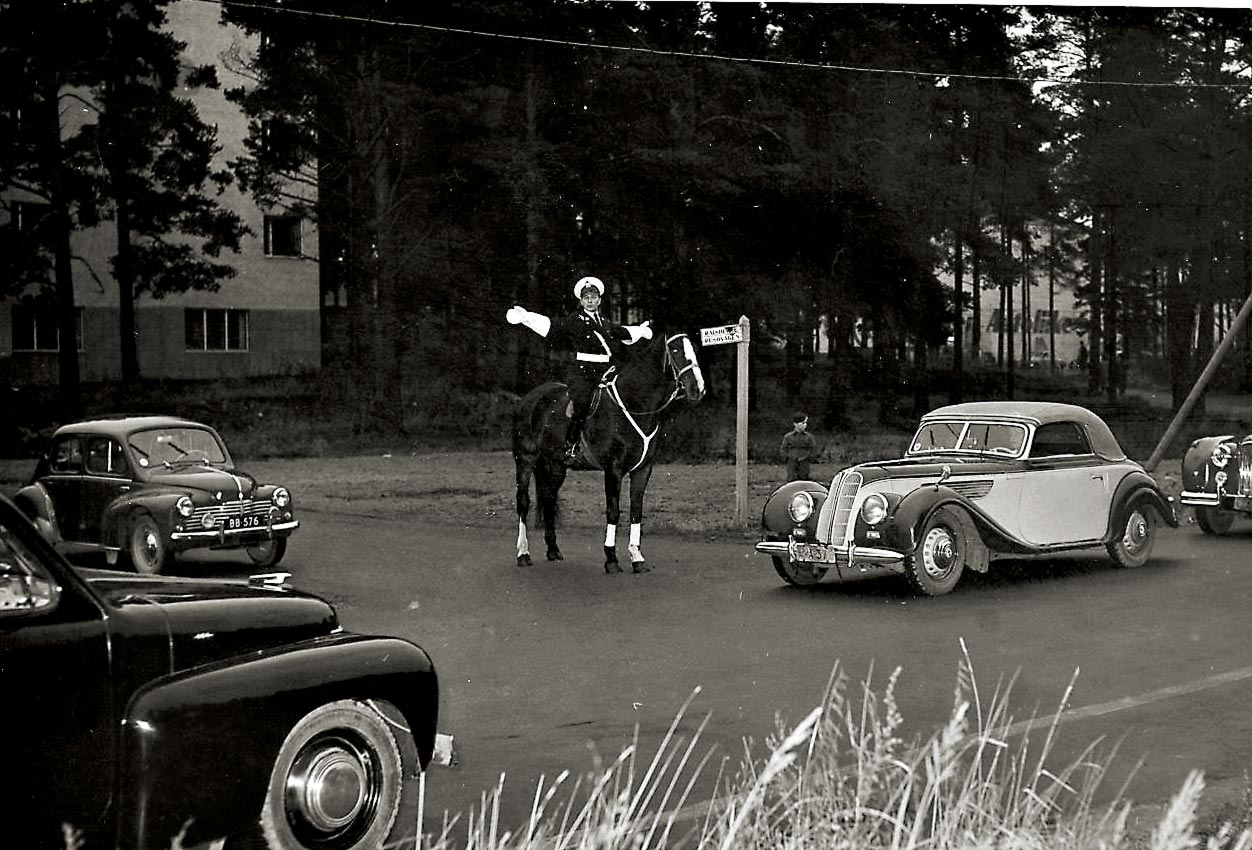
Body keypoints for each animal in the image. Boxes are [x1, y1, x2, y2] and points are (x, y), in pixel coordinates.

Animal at [508, 327, 706, 575]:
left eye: (695, 349)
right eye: (676, 350)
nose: (698, 388)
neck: (634, 403)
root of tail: (528, 399)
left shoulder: (643, 470)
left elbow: (636, 510)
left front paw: (636, 557)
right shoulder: (613, 470)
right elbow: (613, 511)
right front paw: (611, 558)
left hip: (556, 466)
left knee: (549, 499)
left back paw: (553, 550)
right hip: (525, 459)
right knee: (523, 502)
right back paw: (523, 553)